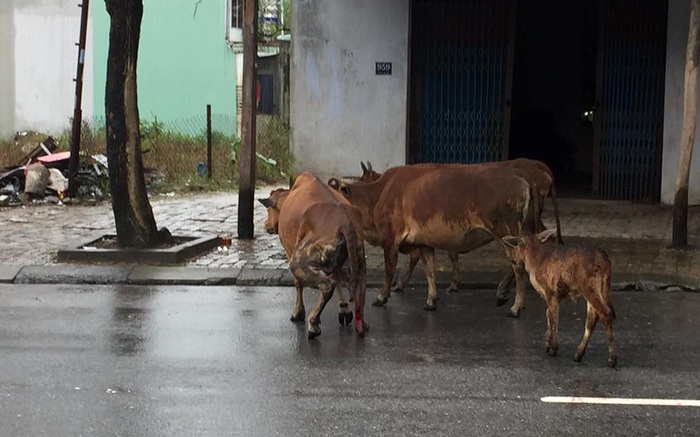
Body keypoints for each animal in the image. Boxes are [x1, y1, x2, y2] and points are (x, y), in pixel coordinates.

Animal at [258, 172, 370, 338]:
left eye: (269, 210)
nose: (266, 225)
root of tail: (345, 222)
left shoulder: (289, 251)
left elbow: (298, 283)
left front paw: (298, 313)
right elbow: (338, 282)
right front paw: (344, 309)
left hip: (299, 261)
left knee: (326, 286)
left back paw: (313, 323)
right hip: (359, 261)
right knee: (357, 291)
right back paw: (362, 323)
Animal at [328, 162, 536, 316]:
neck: (378, 194)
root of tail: (521, 178)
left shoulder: (390, 239)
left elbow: (389, 270)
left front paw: (381, 297)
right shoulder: (424, 243)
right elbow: (429, 269)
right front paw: (431, 300)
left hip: (505, 232)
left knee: (518, 266)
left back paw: (515, 306)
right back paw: (504, 294)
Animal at [504, 230, 616, 366]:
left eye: (516, 244)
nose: (513, 260)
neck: (534, 258)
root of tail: (604, 260)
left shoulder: (549, 291)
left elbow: (552, 319)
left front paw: (553, 348)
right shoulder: (557, 295)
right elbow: (549, 314)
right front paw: (548, 343)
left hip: (589, 288)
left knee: (605, 313)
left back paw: (612, 358)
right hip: (600, 289)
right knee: (592, 318)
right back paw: (578, 354)